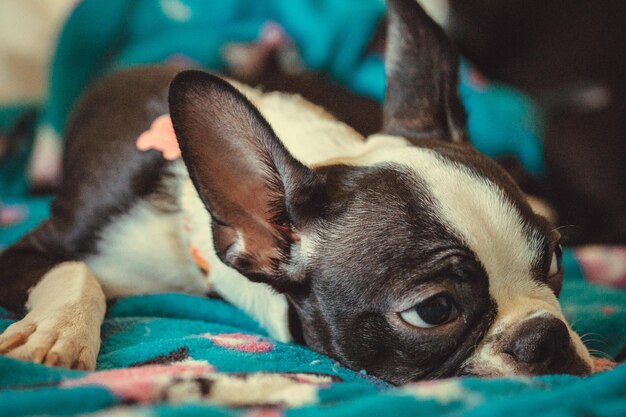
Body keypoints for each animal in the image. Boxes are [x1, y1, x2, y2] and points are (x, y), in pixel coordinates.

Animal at [0, 0, 588, 384]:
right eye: (435, 310)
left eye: (556, 258)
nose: (547, 337)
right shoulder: (45, 244)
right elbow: (75, 270)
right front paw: (58, 332)